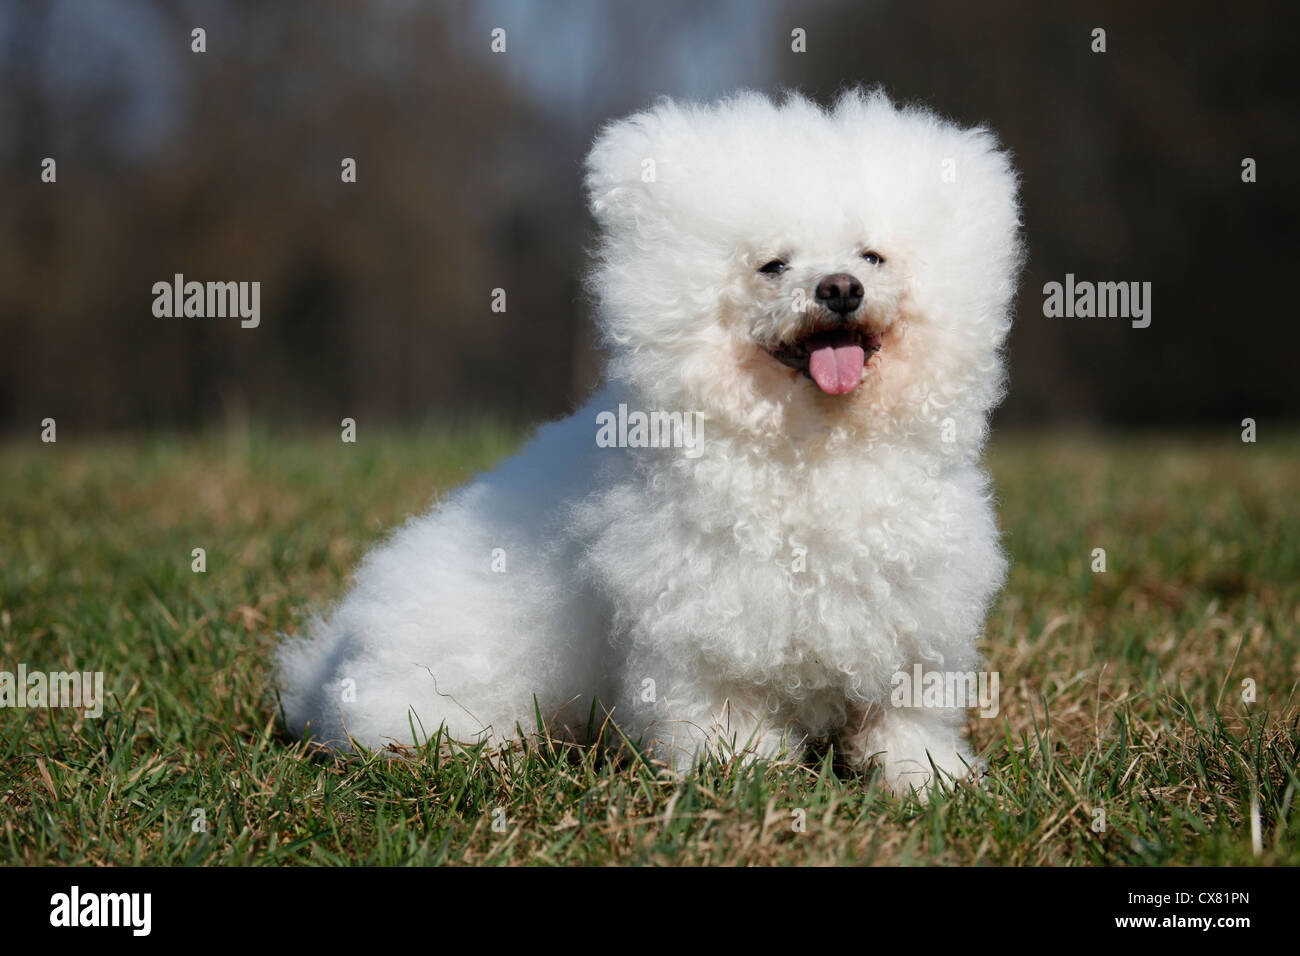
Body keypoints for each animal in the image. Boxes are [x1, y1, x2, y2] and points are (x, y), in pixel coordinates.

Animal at [276, 89, 1024, 796]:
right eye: (772, 266)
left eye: (873, 255)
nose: (840, 287)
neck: (811, 447)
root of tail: (330, 666)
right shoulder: (699, 629)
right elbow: (722, 712)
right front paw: (744, 774)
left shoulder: (911, 624)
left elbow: (904, 717)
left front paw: (929, 779)